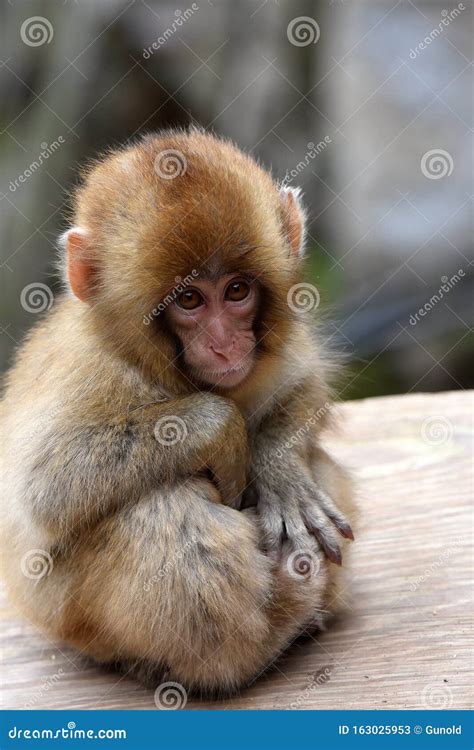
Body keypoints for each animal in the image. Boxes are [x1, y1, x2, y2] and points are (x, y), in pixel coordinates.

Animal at [0, 129, 356, 697]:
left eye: (237, 290)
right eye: (189, 300)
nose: (224, 343)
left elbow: (303, 386)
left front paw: (278, 471)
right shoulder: (94, 369)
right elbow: (46, 490)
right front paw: (220, 428)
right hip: (74, 621)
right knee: (162, 504)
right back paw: (263, 633)